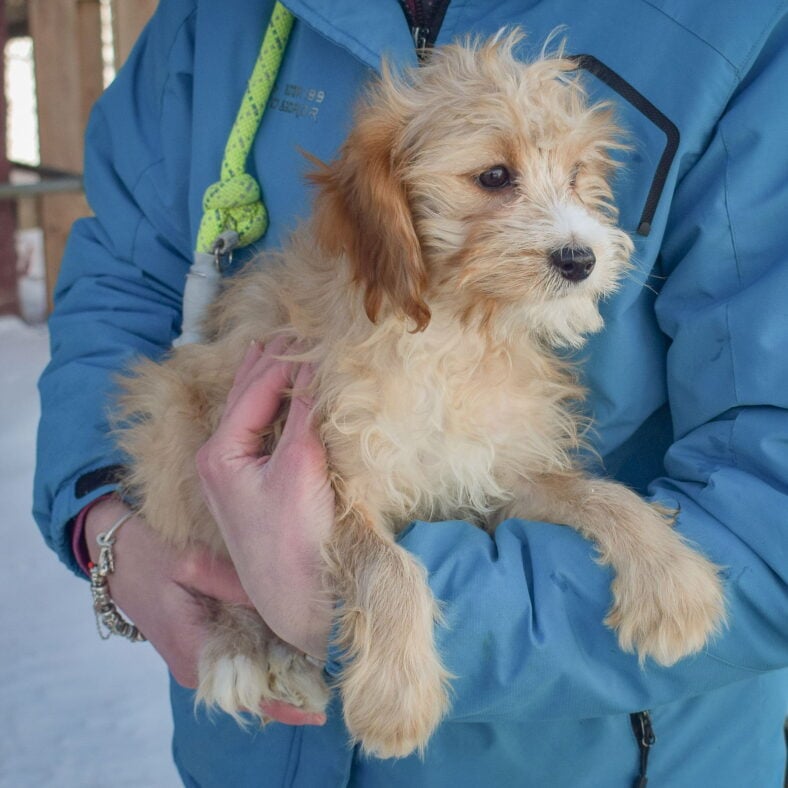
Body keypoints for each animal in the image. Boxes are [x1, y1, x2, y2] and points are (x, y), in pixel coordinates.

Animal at [115, 33, 728, 760]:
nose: (582, 259)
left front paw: (672, 580)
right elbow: (390, 569)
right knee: (219, 558)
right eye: (494, 177)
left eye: (578, 175)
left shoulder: (501, 474)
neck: (453, 335)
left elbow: (600, 495)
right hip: (176, 424)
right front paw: (395, 696)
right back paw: (244, 650)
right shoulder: (334, 485)